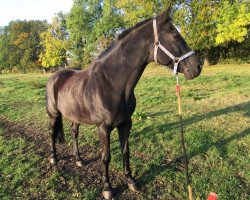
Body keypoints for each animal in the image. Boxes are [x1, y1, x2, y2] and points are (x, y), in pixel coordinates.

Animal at [45, 7, 201, 199]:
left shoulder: (126, 124)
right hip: (54, 114)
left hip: (75, 115)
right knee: (52, 133)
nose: (197, 67)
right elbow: (106, 157)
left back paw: (79, 160)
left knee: (74, 133)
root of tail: (54, 76)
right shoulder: (103, 127)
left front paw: (131, 181)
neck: (111, 84)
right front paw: (107, 188)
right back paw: (53, 158)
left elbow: (125, 151)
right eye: (175, 35)